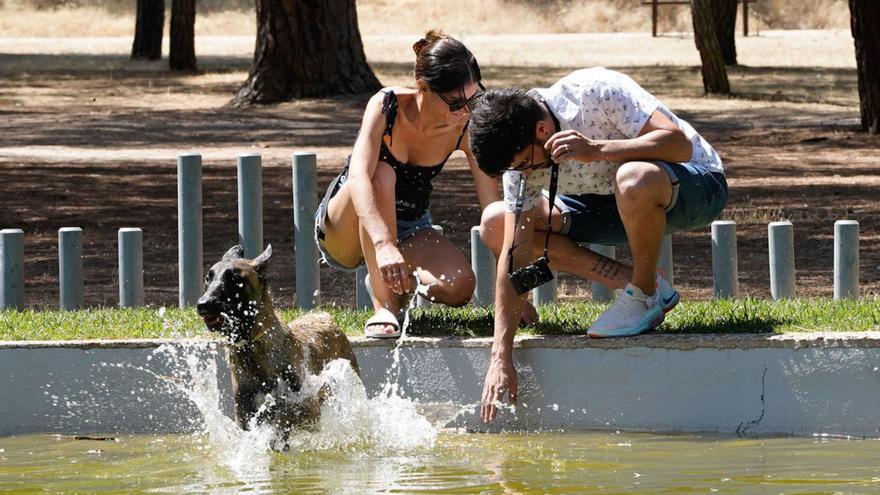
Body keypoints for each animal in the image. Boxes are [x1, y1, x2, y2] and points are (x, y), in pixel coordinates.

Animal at [198, 244, 360, 438]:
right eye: (207, 279)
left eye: (235, 279)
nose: (203, 304)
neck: (253, 347)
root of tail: (324, 316)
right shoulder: (244, 413)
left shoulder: (306, 408)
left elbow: (283, 418)